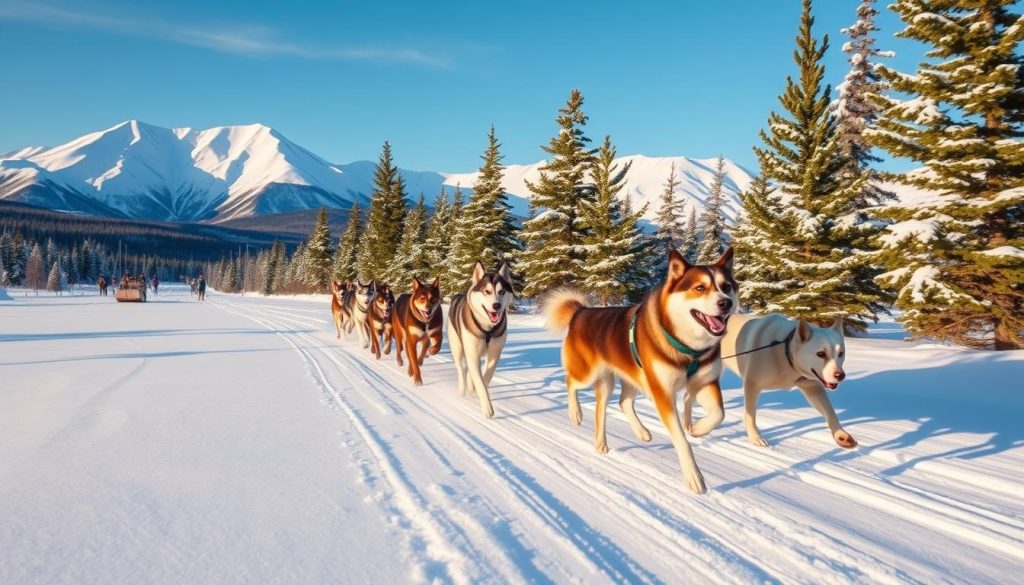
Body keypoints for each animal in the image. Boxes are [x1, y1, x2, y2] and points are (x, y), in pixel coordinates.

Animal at [544, 246, 737, 493]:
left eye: (726, 286)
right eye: (700, 288)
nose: (725, 303)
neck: (689, 348)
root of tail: (581, 311)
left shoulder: (705, 382)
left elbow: (719, 413)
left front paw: (699, 429)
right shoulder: (662, 393)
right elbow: (681, 439)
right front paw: (694, 476)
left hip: (627, 377)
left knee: (618, 404)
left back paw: (626, 436)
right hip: (589, 373)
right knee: (571, 383)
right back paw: (575, 413)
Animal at [712, 315, 856, 448]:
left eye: (841, 353)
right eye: (820, 354)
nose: (840, 376)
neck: (784, 353)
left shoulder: (812, 388)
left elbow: (830, 411)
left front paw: (840, 434)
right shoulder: (752, 385)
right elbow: (750, 415)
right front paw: (755, 437)